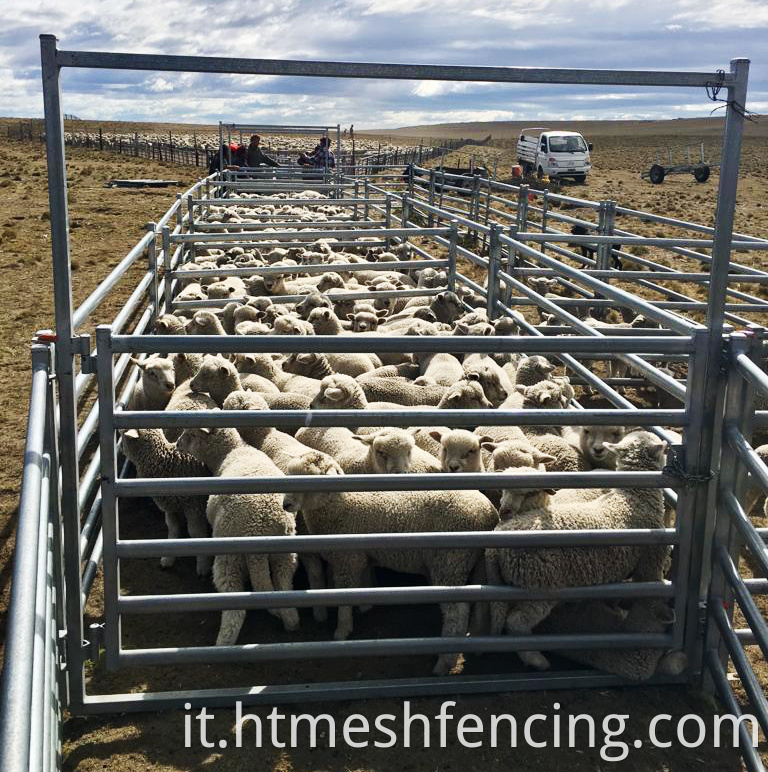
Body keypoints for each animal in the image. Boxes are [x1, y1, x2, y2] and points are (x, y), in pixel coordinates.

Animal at [118, 428, 208, 572]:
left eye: (122, 434)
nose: (120, 448)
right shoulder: (169, 506)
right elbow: (173, 528)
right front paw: (168, 559)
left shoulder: (195, 506)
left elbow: (196, 533)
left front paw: (203, 565)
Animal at [177, 426, 300, 644]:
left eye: (191, 434)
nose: (176, 444)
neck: (232, 451)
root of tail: (259, 532)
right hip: (285, 555)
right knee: (283, 584)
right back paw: (290, 621)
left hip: (229, 558)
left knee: (236, 610)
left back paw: (222, 643)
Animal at [282, 450, 498, 672]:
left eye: (310, 478)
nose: (285, 505)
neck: (340, 505)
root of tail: (488, 512)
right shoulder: (361, 557)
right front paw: (364, 608)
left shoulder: (347, 561)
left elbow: (345, 596)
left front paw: (342, 630)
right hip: (474, 562)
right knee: (482, 603)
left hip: (450, 561)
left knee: (458, 611)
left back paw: (444, 661)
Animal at [488, 432, 668, 672]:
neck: (634, 497)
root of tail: (499, 537)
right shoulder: (651, 561)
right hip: (540, 584)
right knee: (517, 622)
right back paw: (536, 659)